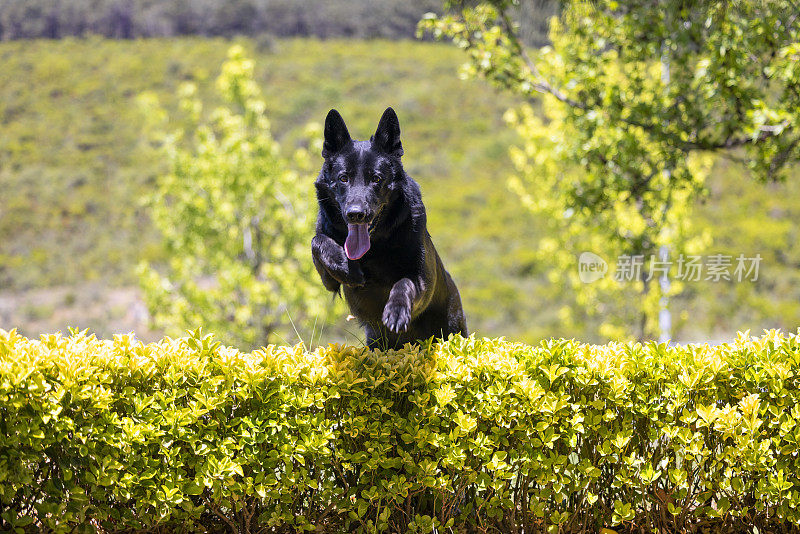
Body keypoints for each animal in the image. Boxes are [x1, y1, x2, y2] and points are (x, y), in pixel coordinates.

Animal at [310, 108, 466, 352]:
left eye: (376, 179)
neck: (375, 247)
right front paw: (345, 266)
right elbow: (318, 242)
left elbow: (403, 284)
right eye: (343, 178)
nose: (356, 214)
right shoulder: (329, 282)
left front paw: (396, 312)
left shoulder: (422, 280)